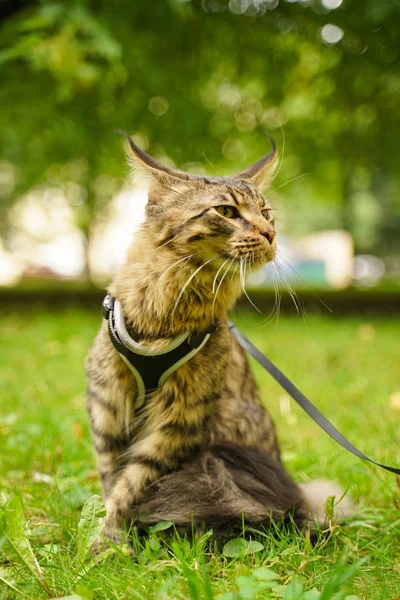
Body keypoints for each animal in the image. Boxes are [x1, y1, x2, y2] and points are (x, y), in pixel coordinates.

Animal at [86, 131, 352, 548]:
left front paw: (107, 544)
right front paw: (105, 544)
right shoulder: (108, 407)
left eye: (266, 213)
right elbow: (112, 478)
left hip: (223, 459)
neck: (165, 312)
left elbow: (130, 485)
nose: (270, 234)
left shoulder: (179, 423)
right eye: (226, 211)